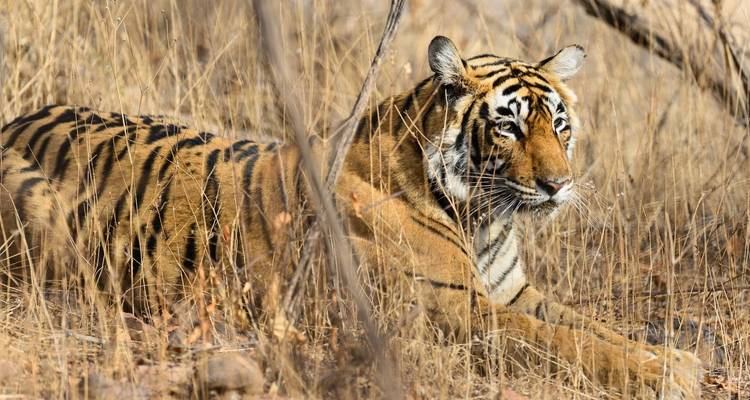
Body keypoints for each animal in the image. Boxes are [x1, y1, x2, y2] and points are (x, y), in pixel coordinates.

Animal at [0, 35, 701, 398]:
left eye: (559, 123)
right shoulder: (452, 308)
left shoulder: (511, 292)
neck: (483, 217)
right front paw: (668, 373)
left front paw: (672, 359)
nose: (558, 186)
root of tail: (19, 118)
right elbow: (566, 341)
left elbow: (592, 327)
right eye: (508, 126)